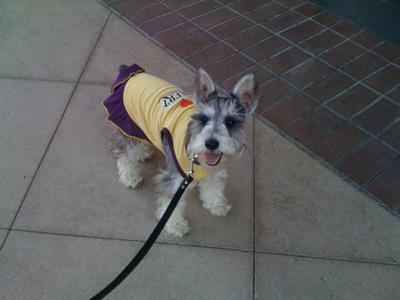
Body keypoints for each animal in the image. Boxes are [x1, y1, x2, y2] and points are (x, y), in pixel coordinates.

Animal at [101, 63, 260, 237]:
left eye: (230, 122)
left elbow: (213, 188)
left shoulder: (215, 172)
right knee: (124, 155)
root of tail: (129, 72)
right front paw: (176, 226)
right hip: (126, 126)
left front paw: (216, 205)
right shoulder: (174, 180)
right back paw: (130, 177)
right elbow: (170, 206)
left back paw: (142, 154)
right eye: (203, 119)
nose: (211, 144)